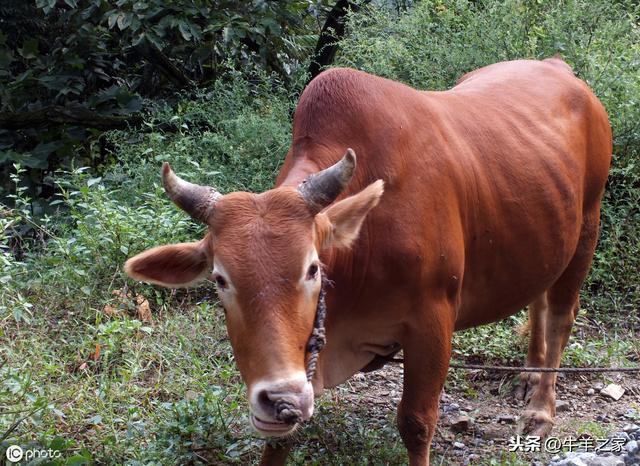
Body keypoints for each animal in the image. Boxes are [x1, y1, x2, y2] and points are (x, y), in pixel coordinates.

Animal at [124, 59, 608, 466]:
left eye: (313, 269)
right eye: (220, 280)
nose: (278, 397)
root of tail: (559, 67)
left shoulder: (432, 321)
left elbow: (416, 422)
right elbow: (281, 440)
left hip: (588, 224)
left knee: (560, 315)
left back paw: (540, 410)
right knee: (538, 299)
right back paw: (528, 377)